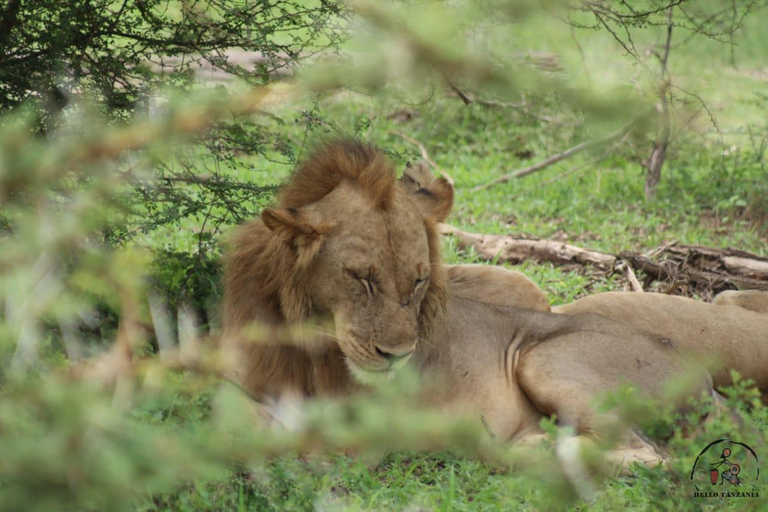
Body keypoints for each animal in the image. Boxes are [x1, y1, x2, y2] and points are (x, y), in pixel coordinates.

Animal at [222, 140, 712, 468]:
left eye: (420, 280)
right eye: (362, 278)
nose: (397, 356)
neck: (302, 336)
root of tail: (701, 376)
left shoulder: (359, 437)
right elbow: (234, 422)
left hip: (544, 359)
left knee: (647, 453)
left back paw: (529, 447)